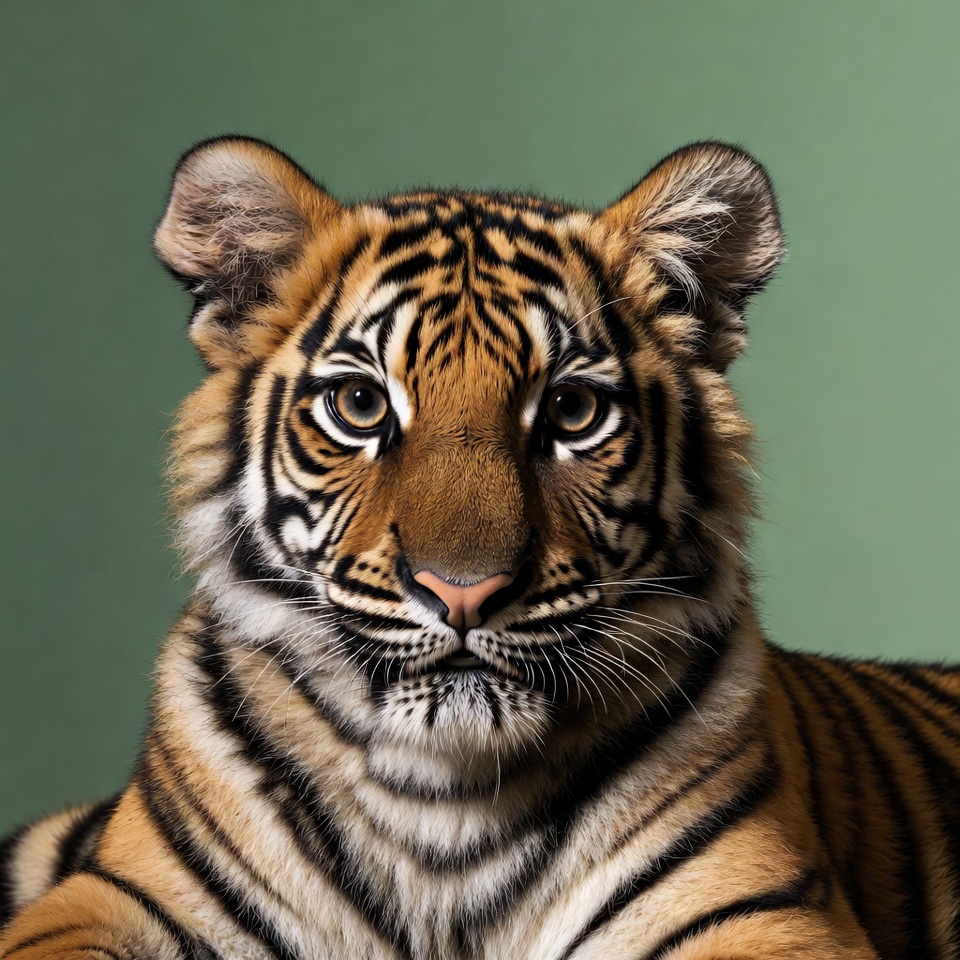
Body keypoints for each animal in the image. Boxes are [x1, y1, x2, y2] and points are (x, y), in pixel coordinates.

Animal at [1, 135, 959, 960]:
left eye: (573, 411)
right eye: (360, 405)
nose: (463, 592)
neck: (439, 807)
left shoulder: (769, 920)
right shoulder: (106, 900)